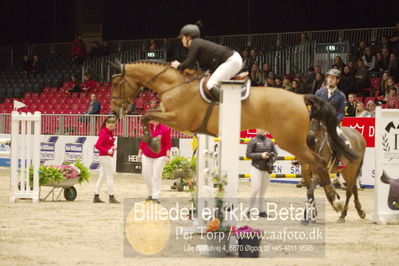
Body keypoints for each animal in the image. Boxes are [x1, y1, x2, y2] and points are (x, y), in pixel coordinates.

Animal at [110, 60, 360, 212]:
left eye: (115, 83)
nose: (114, 112)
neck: (175, 85)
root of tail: (300, 97)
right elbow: (148, 116)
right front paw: (150, 141)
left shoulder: (177, 119)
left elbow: (146, 116)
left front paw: (151, 142)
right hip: (296, 143)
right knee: (311, 168)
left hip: (291, 141)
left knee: (318, 164)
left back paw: (335, 201)